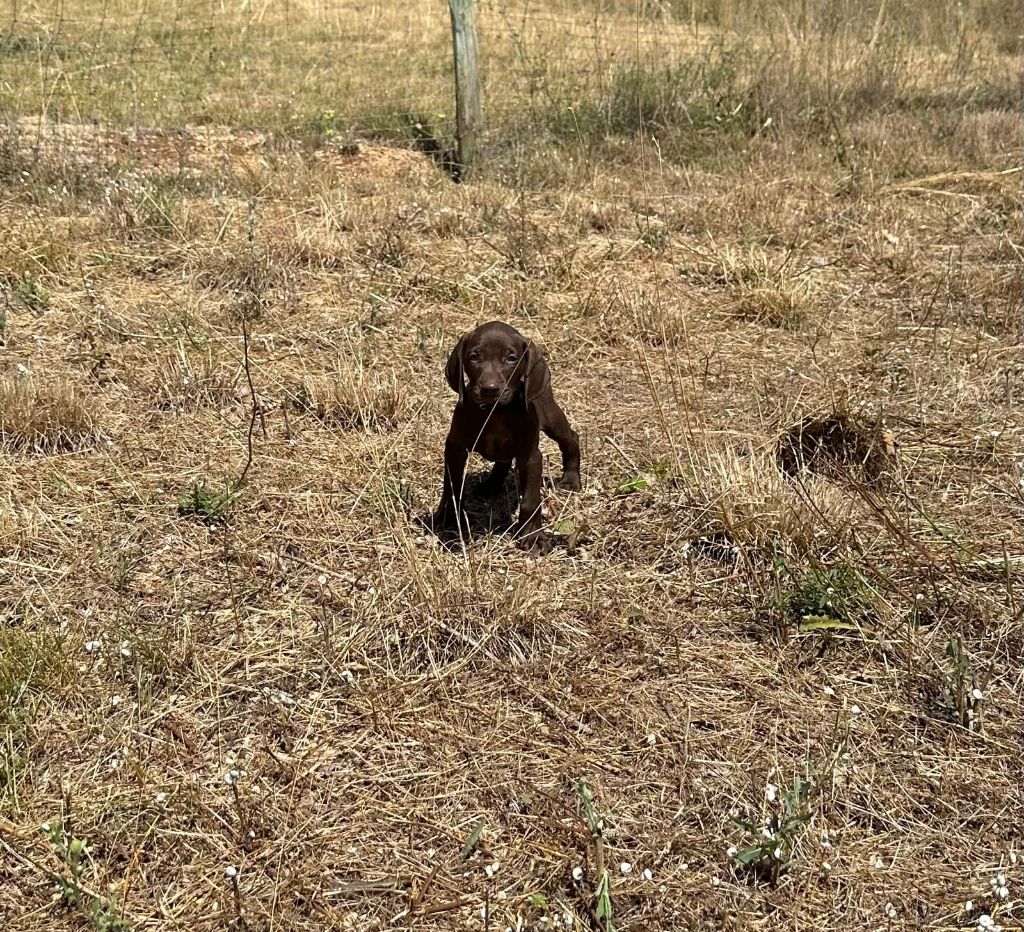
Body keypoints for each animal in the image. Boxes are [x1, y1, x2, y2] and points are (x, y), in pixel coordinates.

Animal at [430, 325, 577, 548]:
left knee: (571, 438)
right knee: (504, 460)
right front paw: (447, 517)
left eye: (511, 358)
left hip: (551, 417)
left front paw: (533, 536)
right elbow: (452, 486)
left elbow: (530, 500)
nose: (489, 389)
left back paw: (571, 480)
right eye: (474, 357)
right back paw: (490, 485)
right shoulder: (455, 449)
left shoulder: (531, 457)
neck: (495, 412)